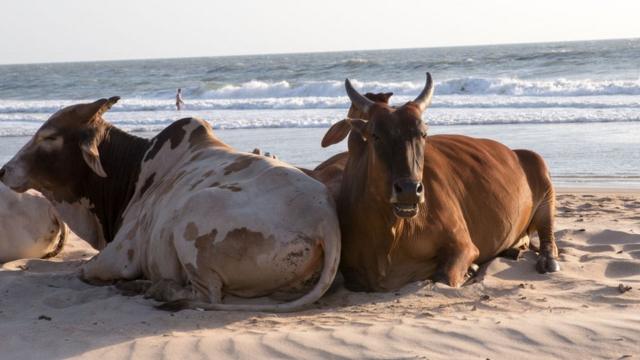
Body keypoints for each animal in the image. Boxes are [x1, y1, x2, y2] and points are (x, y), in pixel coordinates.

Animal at [0, 98, 340, 312]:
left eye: (49, 137)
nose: (4, 170)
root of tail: (325, 218)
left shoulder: (118, 256)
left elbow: (84, 270)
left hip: (195, 210)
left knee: (208, 295)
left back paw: (152, 288)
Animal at [322, 74, 556, 292]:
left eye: (423, 134)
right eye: (375, 135)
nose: (409, 190)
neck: (391, 232)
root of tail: (515, 152)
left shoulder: (463, 245)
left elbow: (443, 277)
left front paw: (470, 269)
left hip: (543, 178)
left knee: (548, 234)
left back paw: (548, 261)